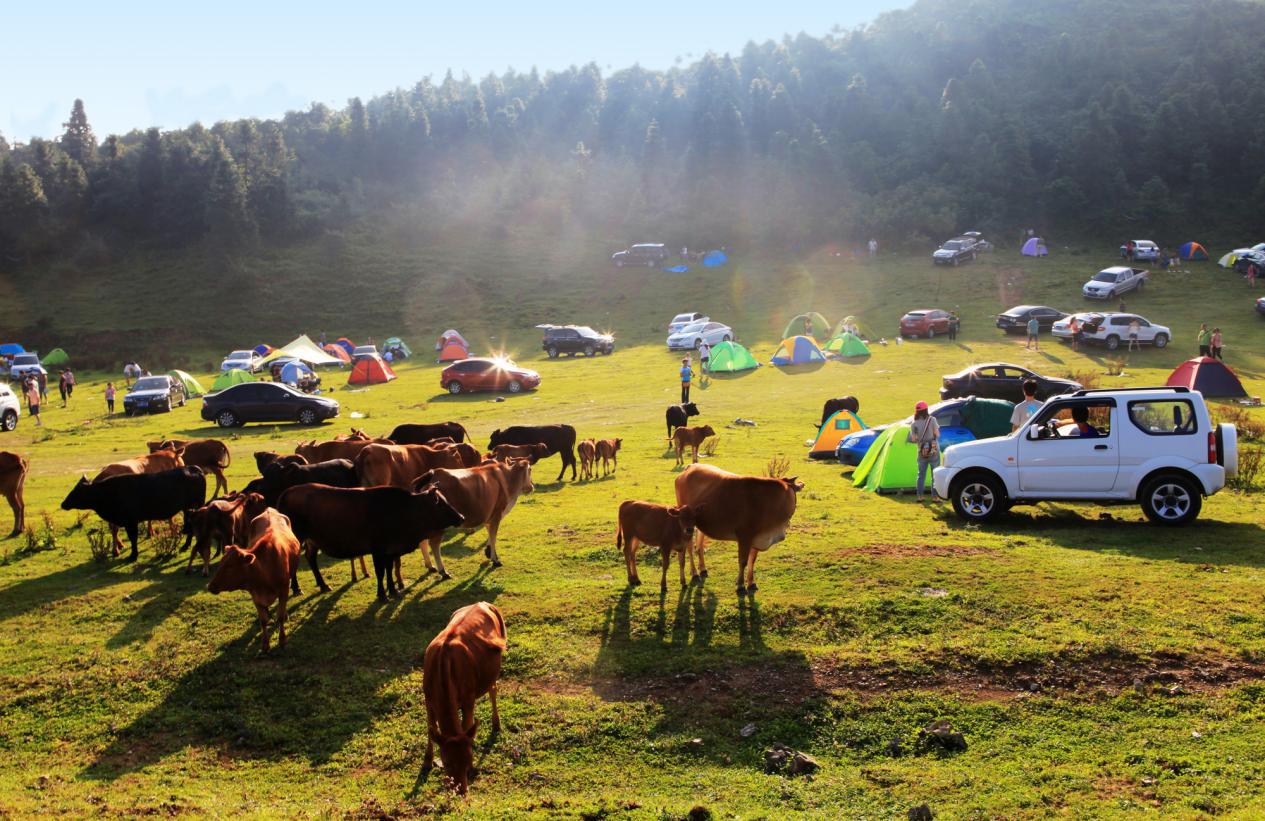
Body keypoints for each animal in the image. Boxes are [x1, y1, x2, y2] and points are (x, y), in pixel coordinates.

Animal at [62, 465, 207, 559]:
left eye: (77, 491)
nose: (63, 504)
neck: (106, 492)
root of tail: (193, 468)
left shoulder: (130, 522)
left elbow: (133, 538)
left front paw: (133, 555)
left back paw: (186, 546)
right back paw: (186, 545)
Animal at [211, 508, 304, 647]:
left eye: (230, 566)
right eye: (221, 563)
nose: (210, 586)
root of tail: (269, 510)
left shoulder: (283, 590)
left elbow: (280, 616)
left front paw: (282, 639)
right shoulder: (255, 595)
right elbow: (263, 620)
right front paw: (265, 644)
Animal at [282, 483, 465, 599]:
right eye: (440, 504)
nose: (461, 517)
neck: (405, 510)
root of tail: (288, 492)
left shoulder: (391, 550)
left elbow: (389, 570)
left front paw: (393, 590)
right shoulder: (378, 550)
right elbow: (380, 572)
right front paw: (382, 594)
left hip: (312, 540)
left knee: (311, 558)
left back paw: (322, 584)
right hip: (297, 538)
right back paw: (297, 588)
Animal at [422, 602, 506, 794]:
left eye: (469, 761)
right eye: (447, 763)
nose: (461, 790)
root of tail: (482, 603)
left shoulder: (468, 700)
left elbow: (467, 727)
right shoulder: (428, 700)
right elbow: (431, 728)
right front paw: (427, 761)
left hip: (493, 672)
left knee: (493, 691)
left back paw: (496, 724)